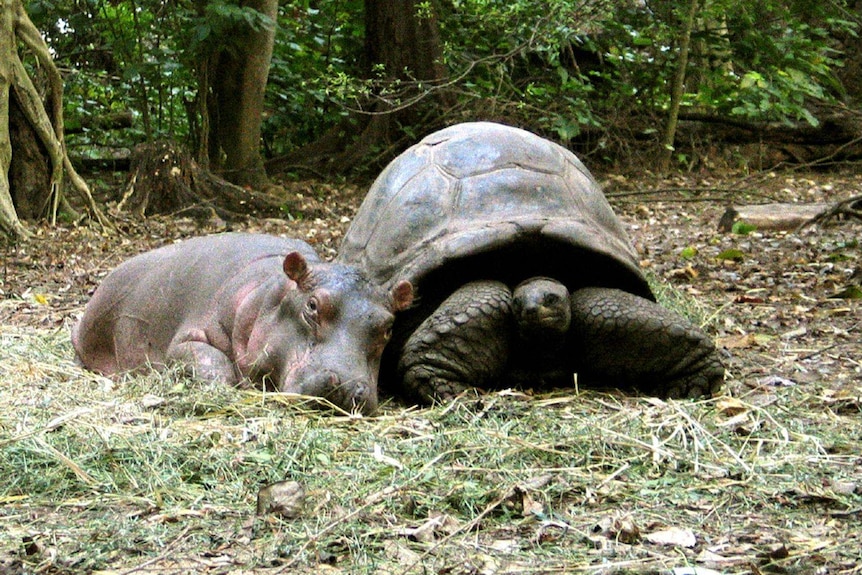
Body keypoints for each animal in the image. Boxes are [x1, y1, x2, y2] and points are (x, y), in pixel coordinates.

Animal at [71, 232, 416, 416]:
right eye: (312, 305)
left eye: (388, 327)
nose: (346, 386)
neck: (269, 293)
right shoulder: (191, 332)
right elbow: (208, 359)